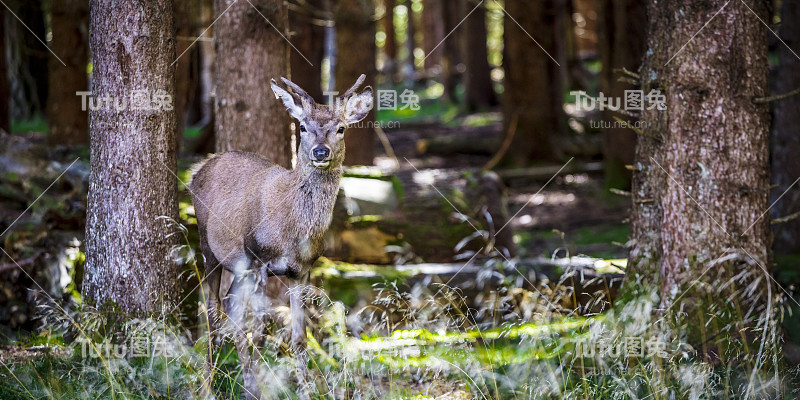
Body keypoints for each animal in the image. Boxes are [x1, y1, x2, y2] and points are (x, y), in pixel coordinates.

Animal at [190, 76, 372, 400]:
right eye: (302, 127)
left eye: (341, 128)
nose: (321, 152)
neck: (291, 234)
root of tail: (198, 168)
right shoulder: (259, 259)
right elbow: (260, 332)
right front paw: (261, 388)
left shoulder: (302, 270)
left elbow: (299, 336)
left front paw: (305, 391)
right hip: (209, 247)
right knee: (213, 311)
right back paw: (209, 385)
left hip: (240, 269)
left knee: (231, 307)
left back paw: (241, 381)